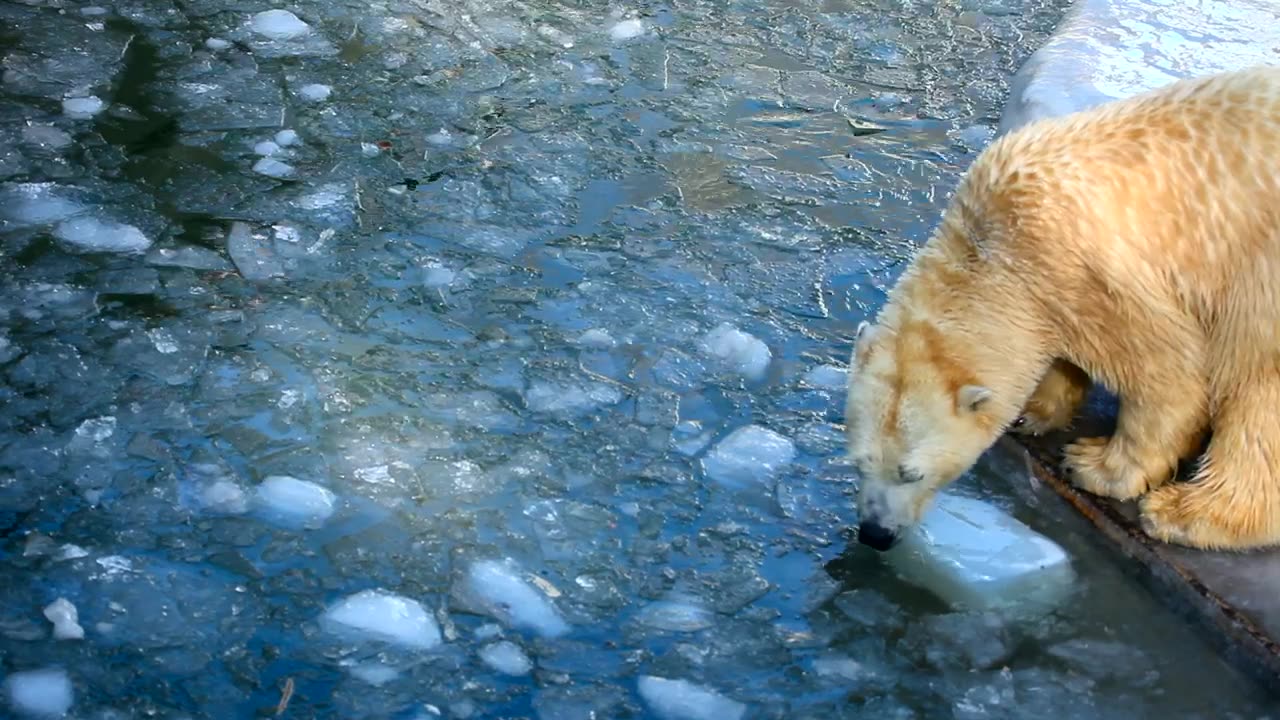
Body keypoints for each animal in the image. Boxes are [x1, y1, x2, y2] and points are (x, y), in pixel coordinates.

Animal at [844, 65, 1280, 548]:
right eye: (858, 462)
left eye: (912, 473)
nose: (875, 533)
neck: (1000, 244)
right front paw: (1034, 410)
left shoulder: (1095, 271)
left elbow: (1170, 375)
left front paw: (1096, 466)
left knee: (1256, 385)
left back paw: (1189, 512)